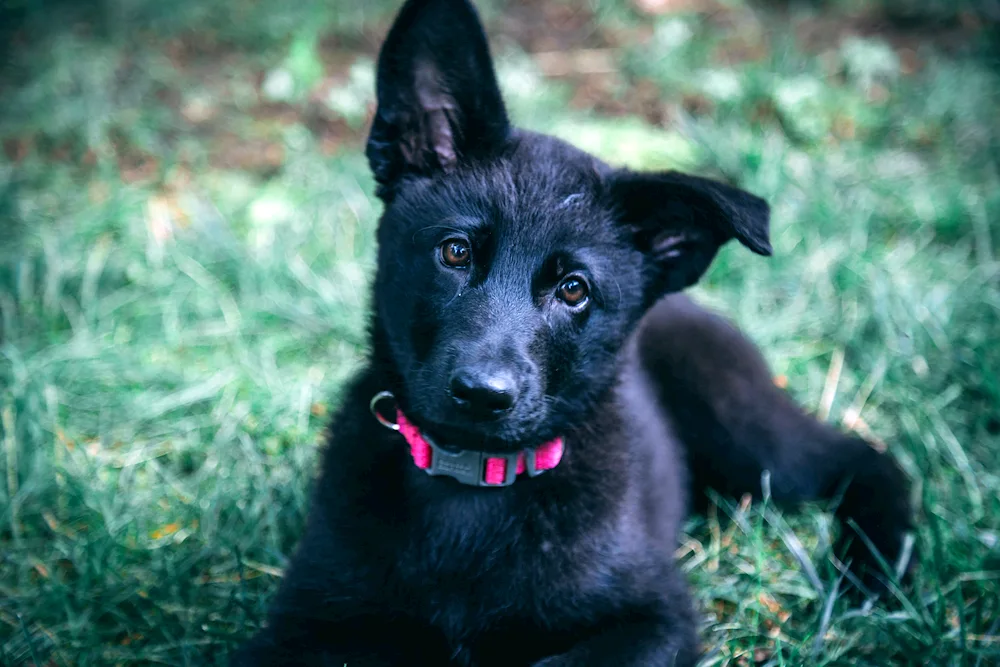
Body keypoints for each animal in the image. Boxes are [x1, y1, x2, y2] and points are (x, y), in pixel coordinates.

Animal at [234, 2, 916, 664]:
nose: (483, 394)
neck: (473, 483)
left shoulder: (655, 617)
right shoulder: (303, 621)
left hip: (746, 439)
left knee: (863, 456)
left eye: (573, 289)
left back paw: (875, 573)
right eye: (455, 252)